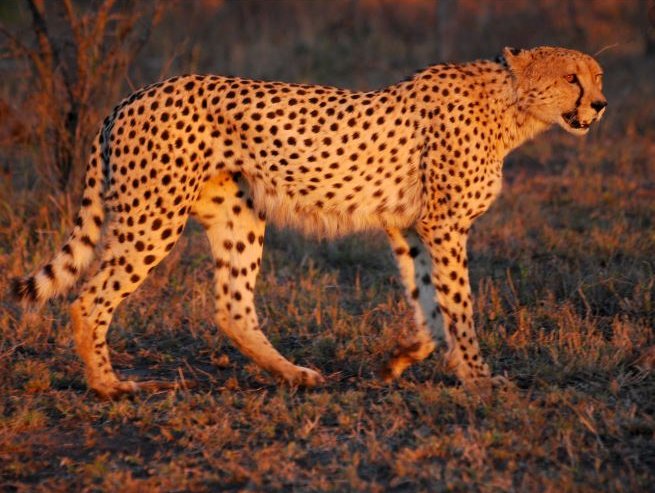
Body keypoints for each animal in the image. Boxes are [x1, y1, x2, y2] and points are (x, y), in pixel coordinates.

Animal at [12, 46, 607, 399]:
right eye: (570, 78)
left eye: (597, 77)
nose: (600, 105)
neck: (512, 106)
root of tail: (131, 96)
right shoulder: (443, 225)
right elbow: (459, 306)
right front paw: (480, 379)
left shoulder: (409, 228)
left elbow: (429, 304)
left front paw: (402, 359)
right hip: (152, 218)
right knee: (90, 299)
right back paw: (108, 386)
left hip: (238, 216)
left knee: (231, 308)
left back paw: (294, 374)